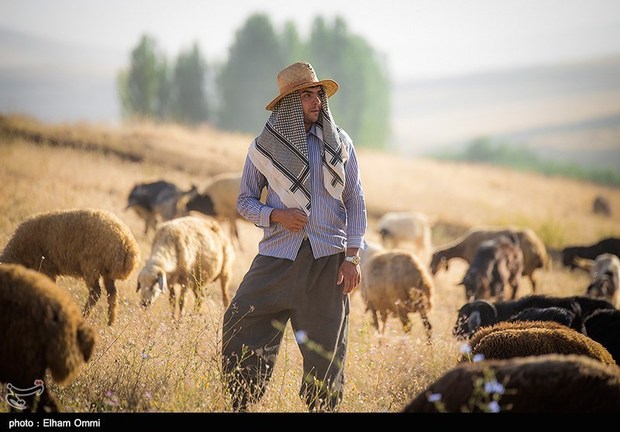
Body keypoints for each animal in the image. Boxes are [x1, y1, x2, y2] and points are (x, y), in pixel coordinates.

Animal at [0, 208, 140, 326]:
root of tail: (127, 242)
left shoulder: (46, 268)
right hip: (107, 271)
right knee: (112, 293)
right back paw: (110, 322)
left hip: (91, 266)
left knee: (95, 292)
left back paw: (84, 317)